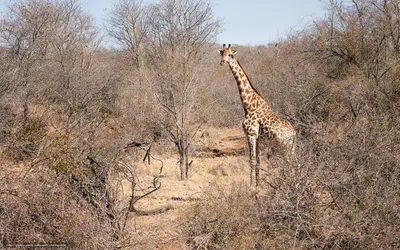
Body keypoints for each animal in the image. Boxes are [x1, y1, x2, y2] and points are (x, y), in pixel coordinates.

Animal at [219, 44, 294, 187]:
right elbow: (258, 161)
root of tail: (294, 133)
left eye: (230, 55)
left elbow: (252, 160)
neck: (248, 104)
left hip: (284, 145)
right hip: (291, 146)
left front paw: (251, 186)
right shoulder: (258, 137)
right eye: (222, 53)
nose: (222, 62)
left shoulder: (251, 134)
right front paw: (258, 185)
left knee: (289, 163)